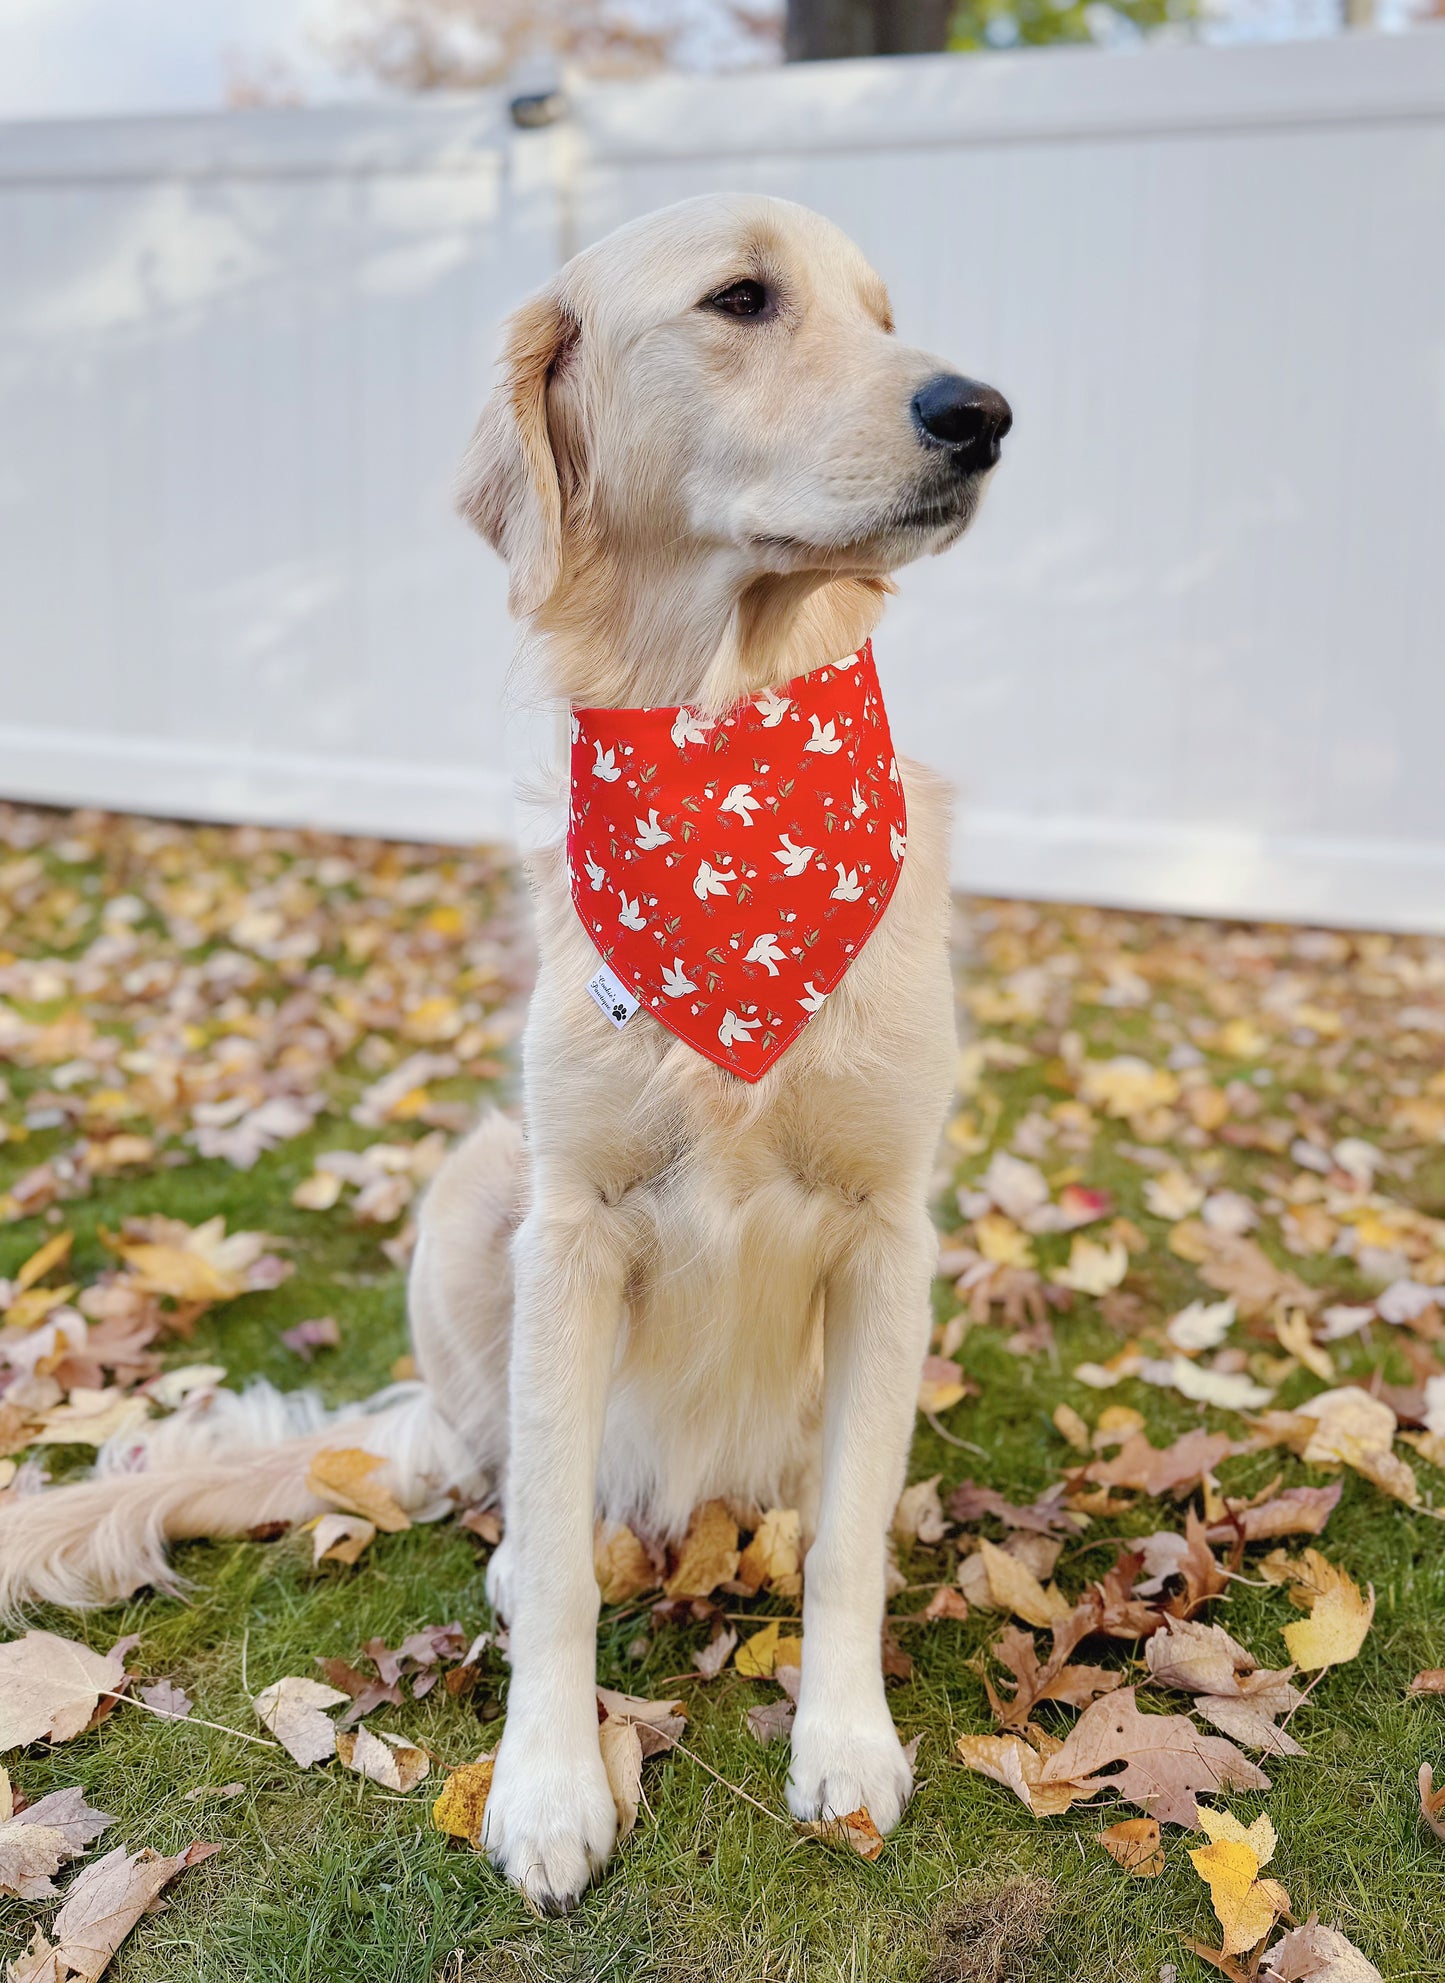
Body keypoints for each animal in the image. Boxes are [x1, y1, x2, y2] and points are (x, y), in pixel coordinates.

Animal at [0, 197, 1010, 1903]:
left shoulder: (891, 1232)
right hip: (475, 1191)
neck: (726, 752)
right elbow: (554, 1566)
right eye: (743, 298)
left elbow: (852, 1538)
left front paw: (845, 1739)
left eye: (884, 314)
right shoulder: (572, 1224)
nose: (983, 412)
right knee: (514, 1486)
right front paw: (545, 1784)